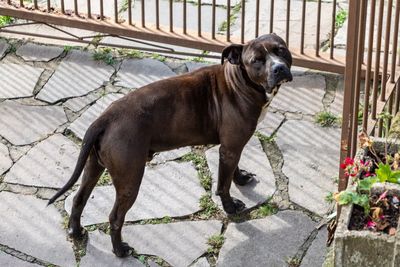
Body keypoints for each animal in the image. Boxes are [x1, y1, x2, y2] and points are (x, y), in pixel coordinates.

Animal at [49, 33, 294, 258]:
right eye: (257, 60)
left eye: (280, 50)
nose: (279, 68)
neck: (240, 81)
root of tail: (105, 118)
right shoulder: (230, 148)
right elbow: (223, 185)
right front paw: (231, 207)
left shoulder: (232, 148)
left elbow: (233, 170)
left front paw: (241, 178)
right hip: (130, 178)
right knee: (115, 217)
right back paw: (119, 250)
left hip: (94, 166)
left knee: (79, 199)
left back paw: (75, 231)